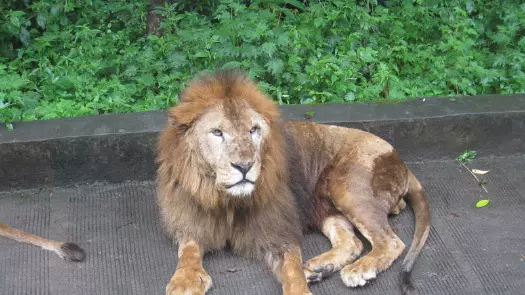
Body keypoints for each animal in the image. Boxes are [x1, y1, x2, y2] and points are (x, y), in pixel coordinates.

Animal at [157, 70, 430, 295]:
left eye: (253, 130)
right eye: (217, 132)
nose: (244, 166)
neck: (225, 199)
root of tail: (402, 161)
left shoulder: (280, 226)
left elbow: (291, 268)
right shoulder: (191, 218)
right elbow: (188, 250)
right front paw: (185, 280)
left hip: (347, 186)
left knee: (391, 241)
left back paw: (359, 269)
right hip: (325, 208)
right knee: (351, 242)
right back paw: (318, 268)